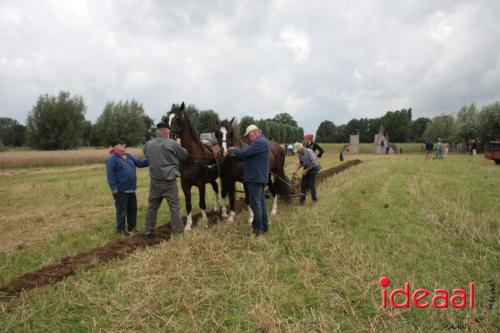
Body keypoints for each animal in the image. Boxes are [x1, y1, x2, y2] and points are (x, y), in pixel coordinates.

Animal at [166, 102, 221, 230]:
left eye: (178, 118)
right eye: (168, 119)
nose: (170, 138)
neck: (191, 157)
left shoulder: (201, 184)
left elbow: (202, 203)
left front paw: (205, 222)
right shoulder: (185, 184)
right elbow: (188, 204)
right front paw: (188, 225)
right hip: (211, 179)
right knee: (216, 187)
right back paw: (217, 208)